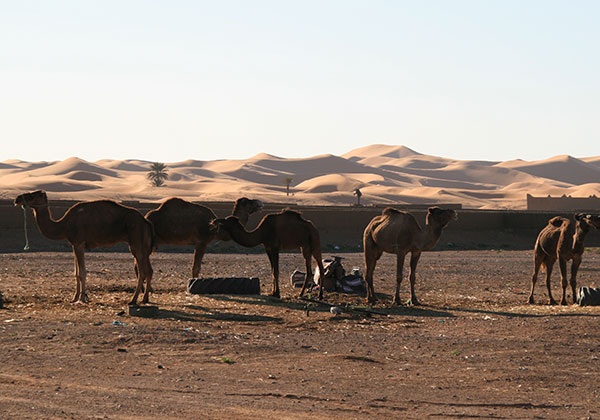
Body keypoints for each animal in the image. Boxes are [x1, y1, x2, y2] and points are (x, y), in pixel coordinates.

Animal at [14, 191, 155, 306]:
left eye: (33, 195)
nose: (17, 199)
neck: (64, 225)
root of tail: (145, 221)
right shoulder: (74, 245)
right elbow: (76, 273)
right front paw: (74, 297)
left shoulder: (79, 243)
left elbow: (82, 273)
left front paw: (82, 299)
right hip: (142, 244)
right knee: (148, 270)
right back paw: (145, 299)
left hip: (136, 240)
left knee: (142, 271)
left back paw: (133, 300)